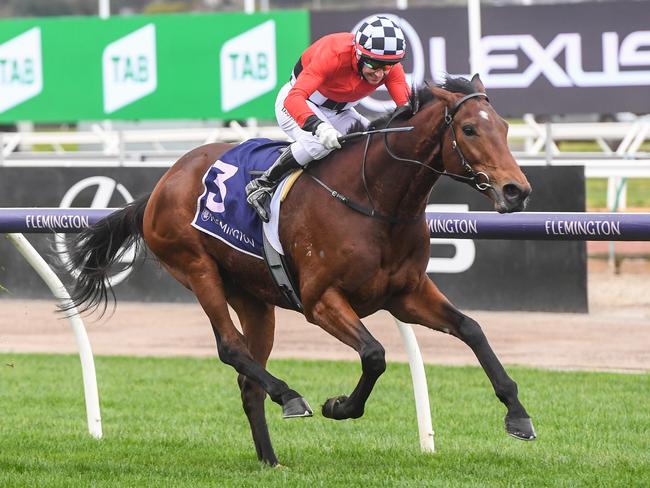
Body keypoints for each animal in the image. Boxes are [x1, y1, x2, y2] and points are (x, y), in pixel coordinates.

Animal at [64, 74, 532, 468]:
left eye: (504, 128)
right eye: (469, 130)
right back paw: (290, 396)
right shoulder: (320, 300)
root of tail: (163, 183)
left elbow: (471, 328)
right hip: (196, 268)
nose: (517, 190)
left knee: (248, 377)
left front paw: (518, 415)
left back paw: (271, 460)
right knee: (231, 348)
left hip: (252, 297)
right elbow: (374, 354)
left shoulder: (407, 294)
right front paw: (338, 406)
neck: (373, 201)